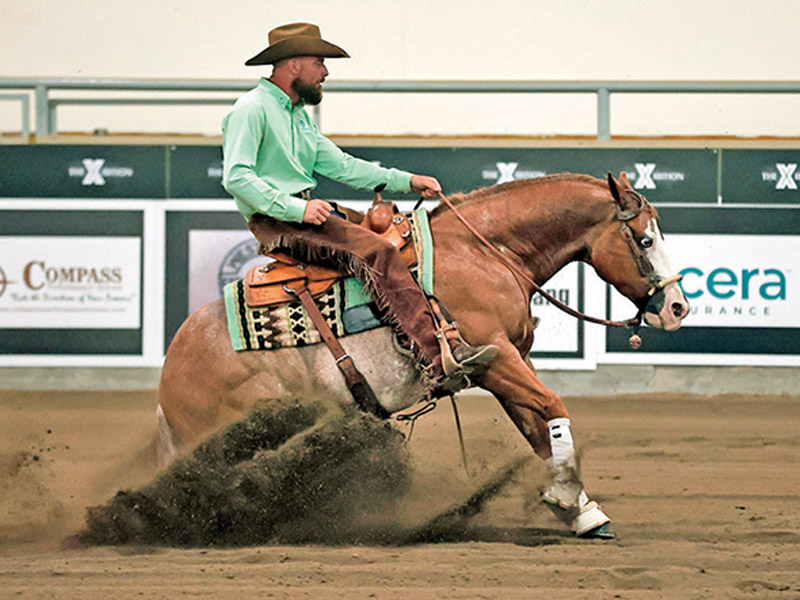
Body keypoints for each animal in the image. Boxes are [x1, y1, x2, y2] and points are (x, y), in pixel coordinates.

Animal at [155, 171, 689, 538]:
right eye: (644, 239)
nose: (678, 307)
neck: (485, 253)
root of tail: (168, 378)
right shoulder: (495, 360)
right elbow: (553, 407)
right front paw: (563, 494)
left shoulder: (512, 361)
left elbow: (538, 428)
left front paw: (582, 512)